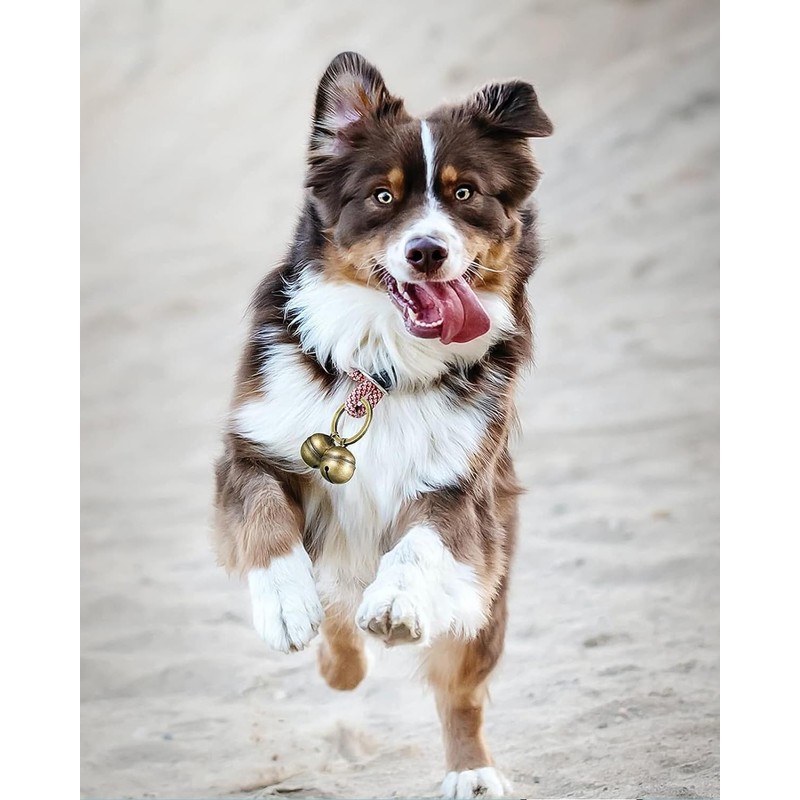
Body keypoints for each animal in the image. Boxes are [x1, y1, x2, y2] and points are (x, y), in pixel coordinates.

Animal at [214, 51, 552, 799]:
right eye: (382, 198)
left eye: (464, 194)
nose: (427, 252)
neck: (381, 369)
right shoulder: (252, 450)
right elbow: (264, 515)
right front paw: (285, 604)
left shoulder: (461, 489)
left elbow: (420, 544)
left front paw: (396, 602)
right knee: (339, 617)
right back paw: (336, 653)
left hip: (489, 589)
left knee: (460, 690)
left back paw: (469, 768)